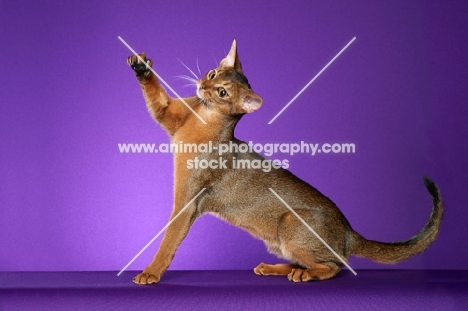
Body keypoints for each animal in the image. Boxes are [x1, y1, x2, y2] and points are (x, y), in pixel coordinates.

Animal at [125, 39, 442, 286]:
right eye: (213, 74)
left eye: (222, 93)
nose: (203, 85)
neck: (202, 117)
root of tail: (348, 231)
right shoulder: (167, 113)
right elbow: (155, 93)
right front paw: (141, 67)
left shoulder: (187, 202)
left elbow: (168, 241)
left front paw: (150, 272)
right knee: (312, 261)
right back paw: (275, 268)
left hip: (290, 223)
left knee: (335, 266)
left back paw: (305, 275)